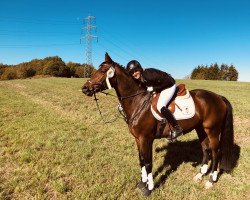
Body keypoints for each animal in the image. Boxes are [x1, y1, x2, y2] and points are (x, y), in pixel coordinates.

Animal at [81, 52, 234, 196]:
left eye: (103, 71)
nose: (85, 88)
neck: (138, 102)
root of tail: (219, 97)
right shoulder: (138, 139)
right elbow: (141, 160)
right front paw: (142, 183)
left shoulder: (146, 139)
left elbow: (148, 163)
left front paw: (149, 188)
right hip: (201, 128)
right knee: (205, 149)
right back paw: (200, 175)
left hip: (212, 130)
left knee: (216, 152)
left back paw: (211, 181)